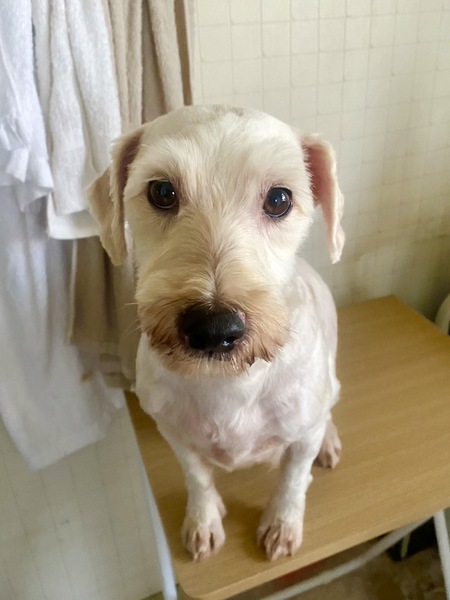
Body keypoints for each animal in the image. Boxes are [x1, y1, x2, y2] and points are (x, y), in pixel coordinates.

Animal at [88, 105, 345, 562]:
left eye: (279, 199)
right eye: (161, 191)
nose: (213, 327)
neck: (229, 381)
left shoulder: (302, 432)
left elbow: (293, 480)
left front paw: (282, 523)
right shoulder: (173, 430)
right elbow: (197, 476)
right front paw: (203, 519)